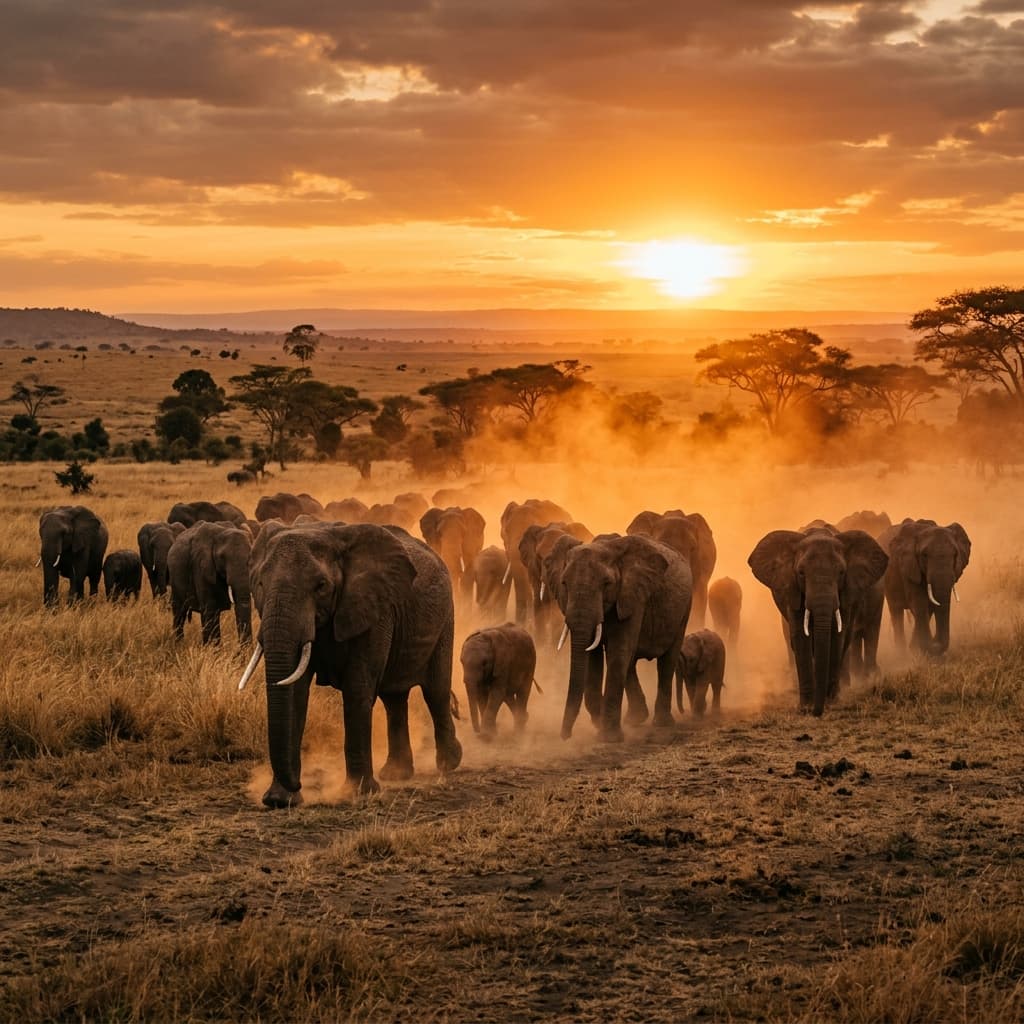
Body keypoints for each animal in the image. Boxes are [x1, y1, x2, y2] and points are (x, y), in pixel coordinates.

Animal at [239, 522, 462, 807]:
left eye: (321, 586)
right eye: (260, 583)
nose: (297, 783)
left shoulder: (374, 610)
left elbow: (357, 688)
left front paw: (358, 792)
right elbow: (296, 694)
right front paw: (281, 800)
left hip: (445, 618)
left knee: (435, 690)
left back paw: (448, 763)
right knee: (394, 698)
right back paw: (396, 774)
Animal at [558, 534, 692, 742]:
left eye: (606, 584)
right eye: (564, 583)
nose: (565, 736)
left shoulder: (633, 597)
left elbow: (618, 651)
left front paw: (609, 738)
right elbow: (594, 657)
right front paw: (600, 725)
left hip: (684, 609)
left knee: (666, 661)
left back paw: (661, 723)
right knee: (631, 662)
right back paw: (636, 719)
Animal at [748, 528, 888, 716]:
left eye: (841, 573)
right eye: (801, 573)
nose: (817, 711)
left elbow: (837, 636)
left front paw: (831, 702)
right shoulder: (792, 590)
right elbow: (801, 637)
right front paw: (806, 706)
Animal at [878, 519, 971, 656]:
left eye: (955, 555)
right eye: (925, 555)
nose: (936, 643)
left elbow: (930, 605)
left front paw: (917, 650)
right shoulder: (909, 567)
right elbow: (919, 603)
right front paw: (921, 650)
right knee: (896, 610)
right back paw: (901, 653)